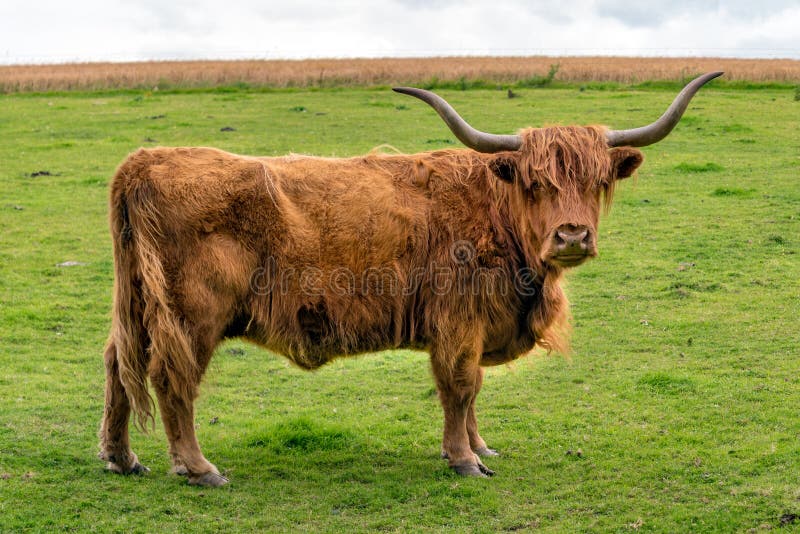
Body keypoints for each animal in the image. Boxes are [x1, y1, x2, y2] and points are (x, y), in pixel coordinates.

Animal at [98, 72, 722, 486]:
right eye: (535, 183)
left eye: (597, 181)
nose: (572, 236)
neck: (495, 215)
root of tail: (145, 160)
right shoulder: (458, 323)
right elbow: (461, 386)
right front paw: (464, 459)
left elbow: (474, 392)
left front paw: (480, 446)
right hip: (191, 316)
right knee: (172, 380)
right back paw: (199, 468)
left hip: (137, 306)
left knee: (118, 367)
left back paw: (122, 457)